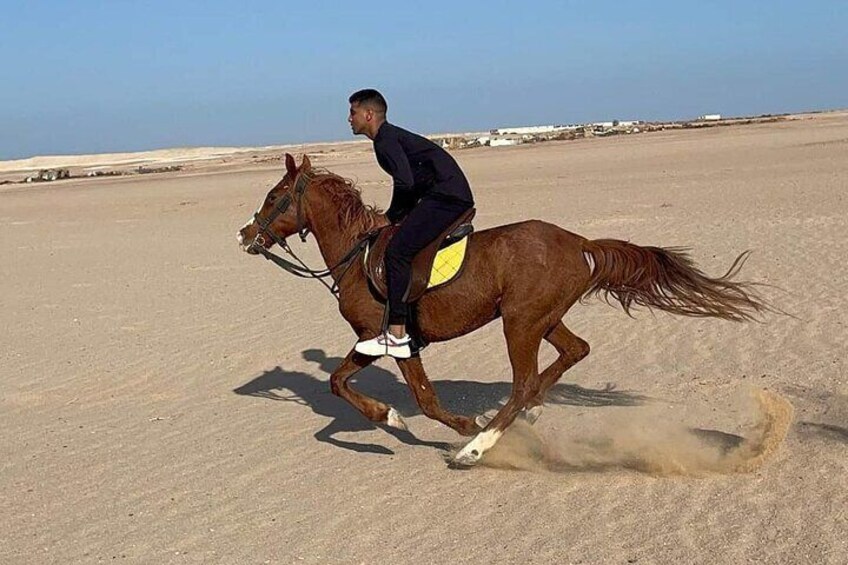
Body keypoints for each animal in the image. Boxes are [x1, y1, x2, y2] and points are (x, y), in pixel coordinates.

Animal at [237, 152, 768, 464]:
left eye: (274, 196)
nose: (245, 235)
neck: (356, 254)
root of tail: (580, 243)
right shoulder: (373, 342)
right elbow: (339, 381)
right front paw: (390, 416)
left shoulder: (390, 339)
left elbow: (420, 400)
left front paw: (427, 423)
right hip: (542, 318)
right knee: (574, 352)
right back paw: (525, 417)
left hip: (521, 323)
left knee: (525, 381)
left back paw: (477, 446)